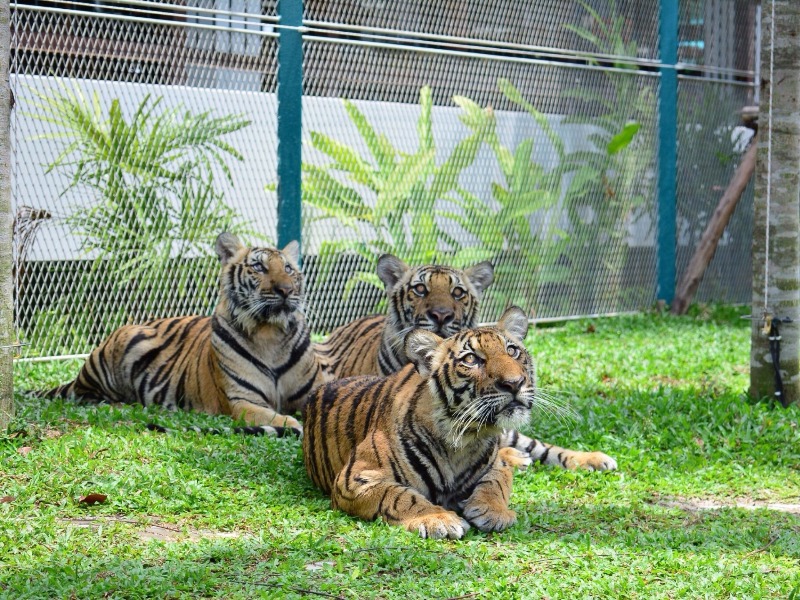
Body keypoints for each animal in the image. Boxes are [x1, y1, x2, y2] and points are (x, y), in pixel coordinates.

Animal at [40, 232, 326, 436]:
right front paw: (292, 424)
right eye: (258, 266)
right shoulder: (242, 400)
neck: (270, 334)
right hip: (120, 345)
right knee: (87, 396)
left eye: (288, 269)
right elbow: (272, 416)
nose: (286, 290)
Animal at [303, 307, 617, 540]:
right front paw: (438, 518)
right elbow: (401, 496)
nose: (515, 383)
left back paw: (595, 459)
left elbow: (496, 482)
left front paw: (491, 511)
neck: (465, 438)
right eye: (471, 359)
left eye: (512, 351)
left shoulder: (493, 463)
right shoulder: (355, 478)